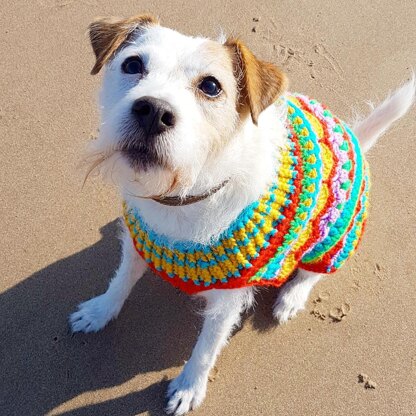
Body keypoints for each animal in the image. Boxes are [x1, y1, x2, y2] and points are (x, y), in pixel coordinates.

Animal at [70, 13, 414, 416]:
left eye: (211, 86)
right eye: (132, 64)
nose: (154, 111)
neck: (188, 193)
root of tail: (355, 140)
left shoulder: (228, 300)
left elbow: (206, 348)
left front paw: (190, 386)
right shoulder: (139, 243)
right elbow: (122, 279)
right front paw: (100, 311)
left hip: (333, 236)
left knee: (313, 273)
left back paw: (292, 297)